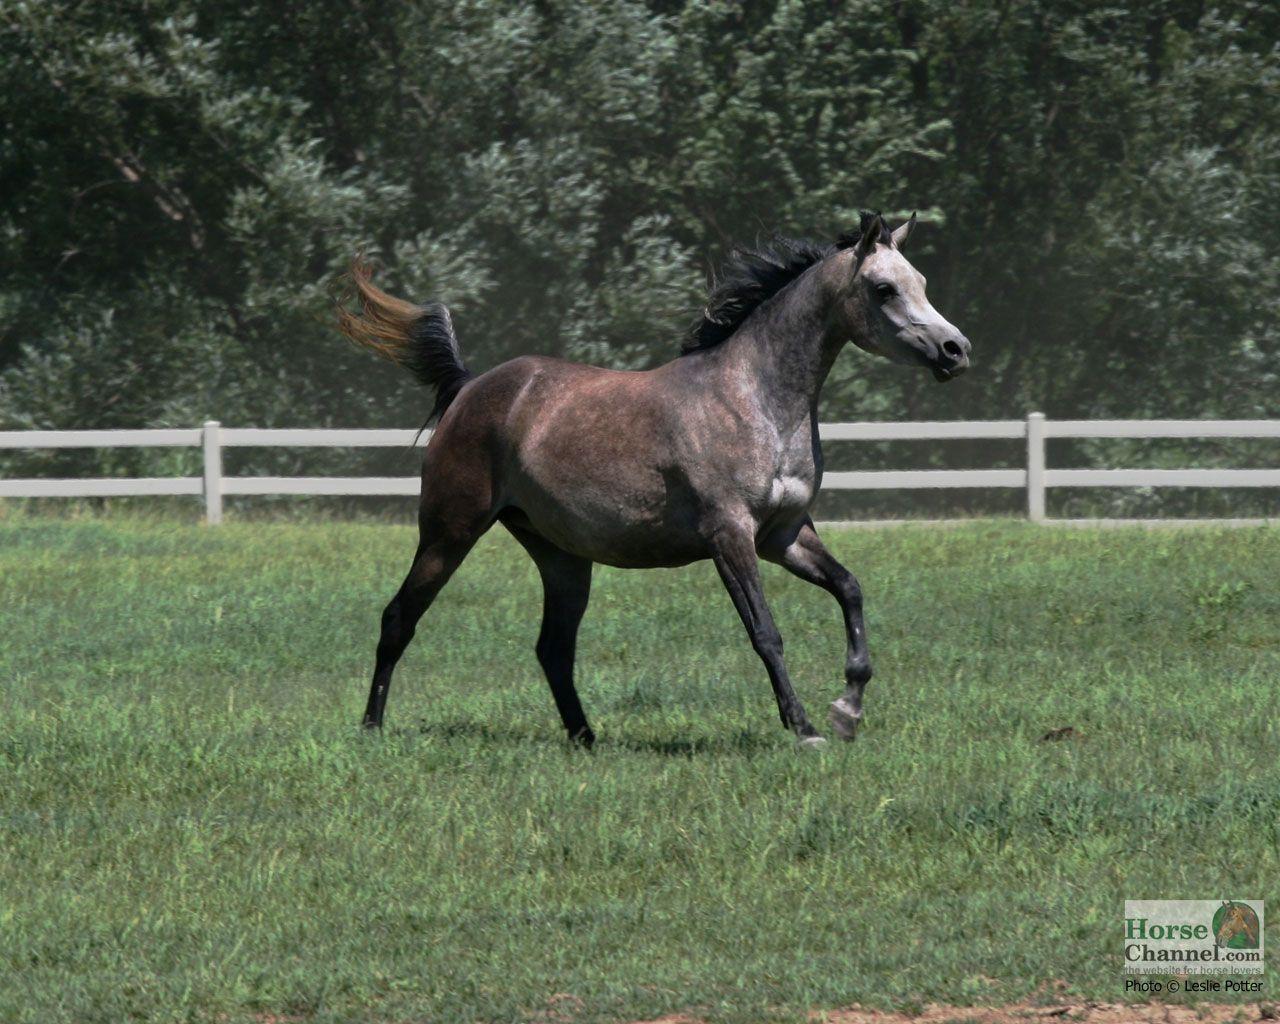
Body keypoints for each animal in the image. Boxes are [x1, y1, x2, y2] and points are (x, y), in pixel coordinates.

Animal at [335, 210, 970, 748]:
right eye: (883, 288)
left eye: (921, 281)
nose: (955, 349)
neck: (756, 399)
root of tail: (470, 388)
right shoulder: (730, 536)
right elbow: (766, 632)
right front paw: (806, 728)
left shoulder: (785, 535)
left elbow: (850, 588)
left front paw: (847, 711)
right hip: (450, 532)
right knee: (399, 619)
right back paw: (371, 729)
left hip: (561, 558)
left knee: (553, 649)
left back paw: (585, 739)